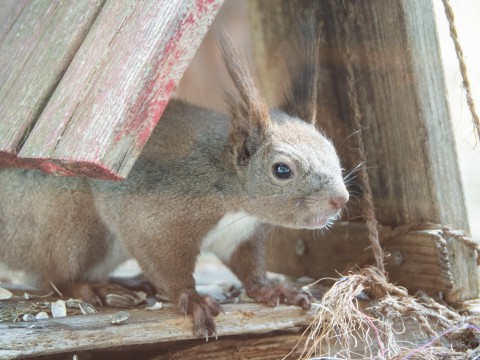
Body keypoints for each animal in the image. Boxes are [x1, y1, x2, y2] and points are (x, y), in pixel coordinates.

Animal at [0, 31, 346, 338]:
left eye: (333, 150)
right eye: (282, 170)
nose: (340, 200)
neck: (232, 198)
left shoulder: (239, 235)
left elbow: (249, 269)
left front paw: (275, 290)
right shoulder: (157, 220)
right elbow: (167, 265)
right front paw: (193, 301)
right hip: (71, 226)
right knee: (55, 280)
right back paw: (99, 287)